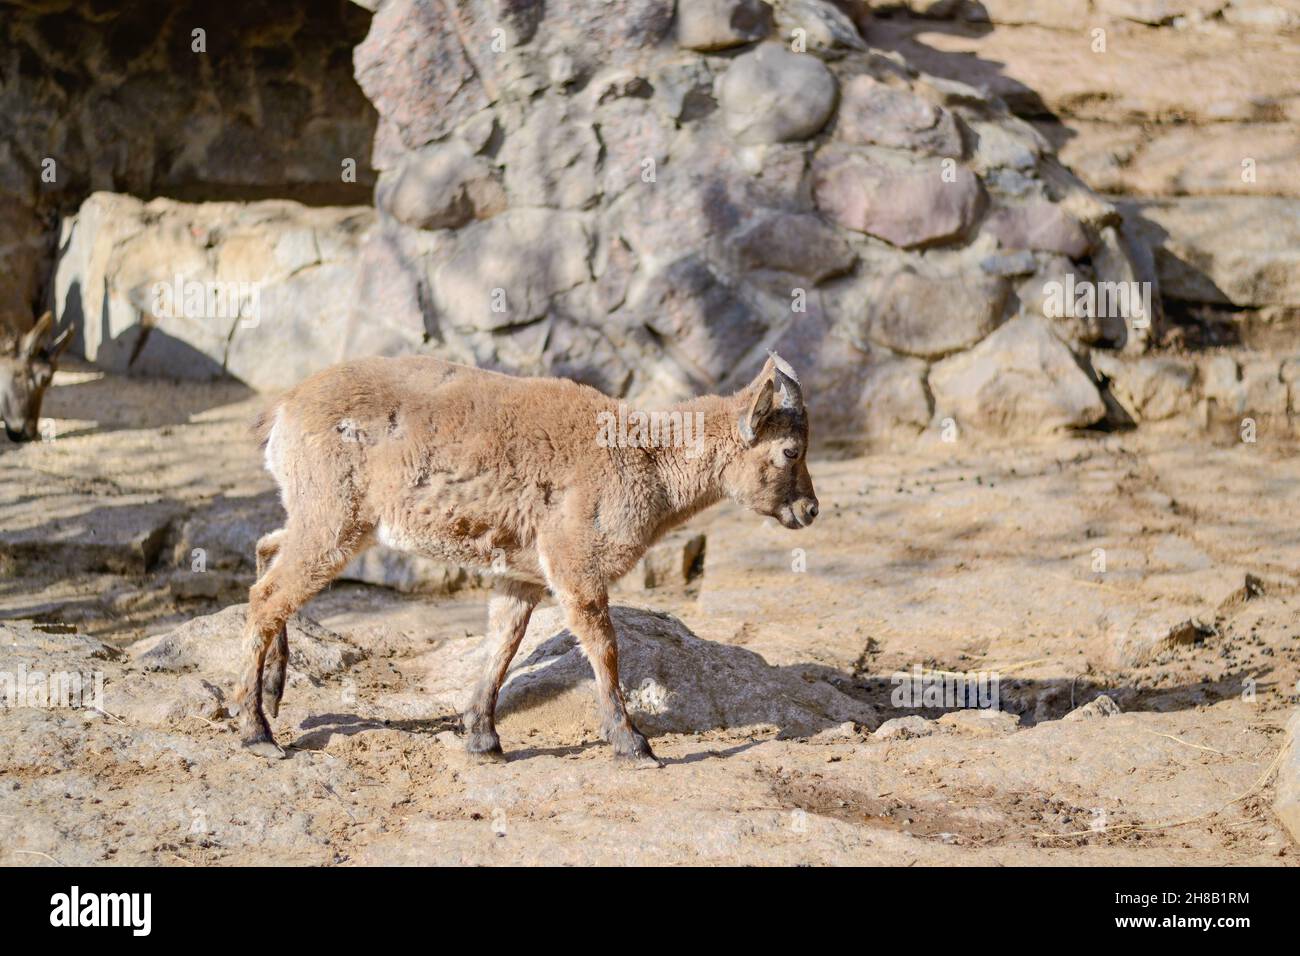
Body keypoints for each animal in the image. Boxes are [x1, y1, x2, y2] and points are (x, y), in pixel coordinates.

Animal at [239, 356, 816, 764]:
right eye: (790, 451)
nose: (809, 509)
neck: (646, 460)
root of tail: (283, 410)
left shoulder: (521, 576)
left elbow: (504, 643)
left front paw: (483, 739)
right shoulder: (573, 563)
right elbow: (604, 649)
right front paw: (634, 745)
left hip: (322, 517)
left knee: (266, 550)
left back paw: (273, 693)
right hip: (335, 520)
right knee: (265, 597)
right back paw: (257, 730)